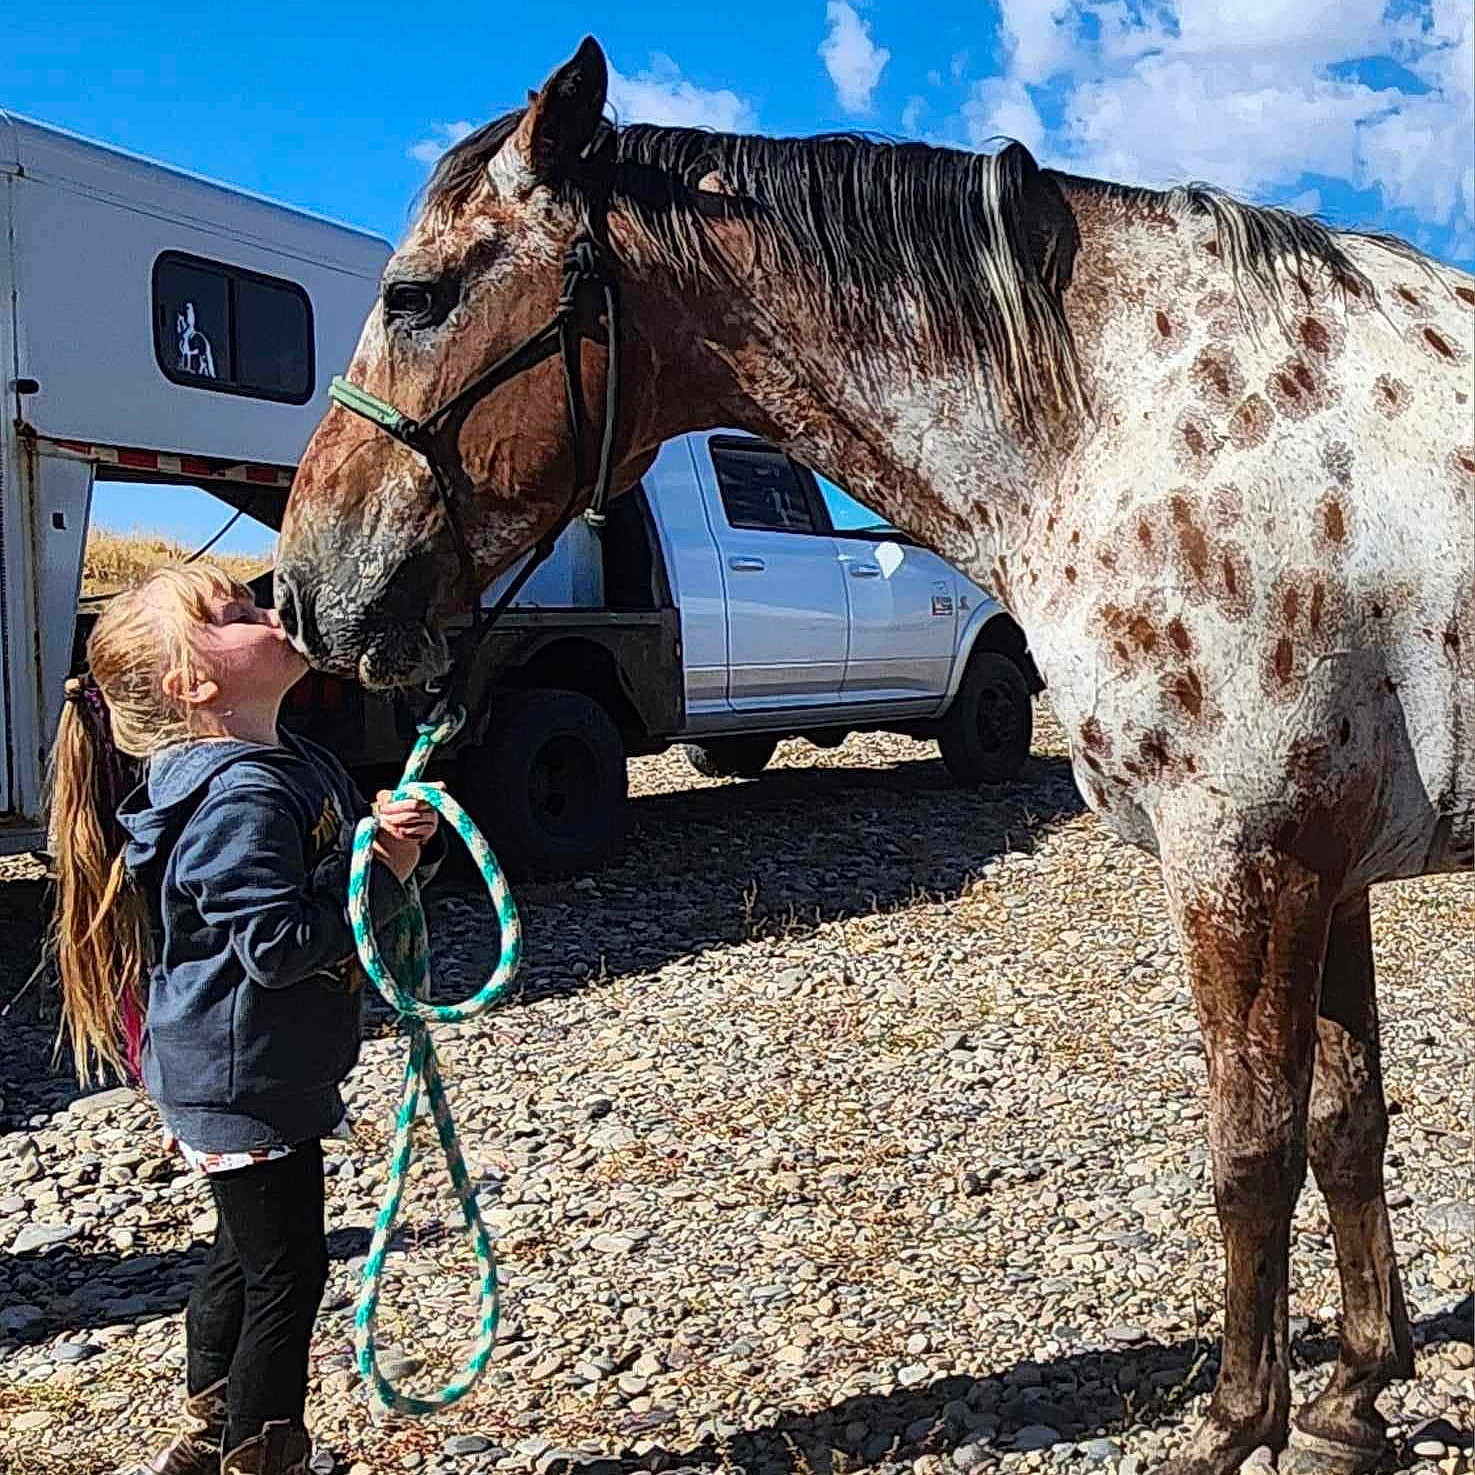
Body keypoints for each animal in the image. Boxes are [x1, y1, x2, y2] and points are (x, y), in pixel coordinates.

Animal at [275, 37, 1474, 1475]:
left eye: (416, 294)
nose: (304, 587)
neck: (1136, 414)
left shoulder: (1246, 863)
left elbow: (1251, 1149)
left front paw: (1238, 1422)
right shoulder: (1327, 868)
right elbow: (1346, 1124)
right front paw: (1354, 1396)